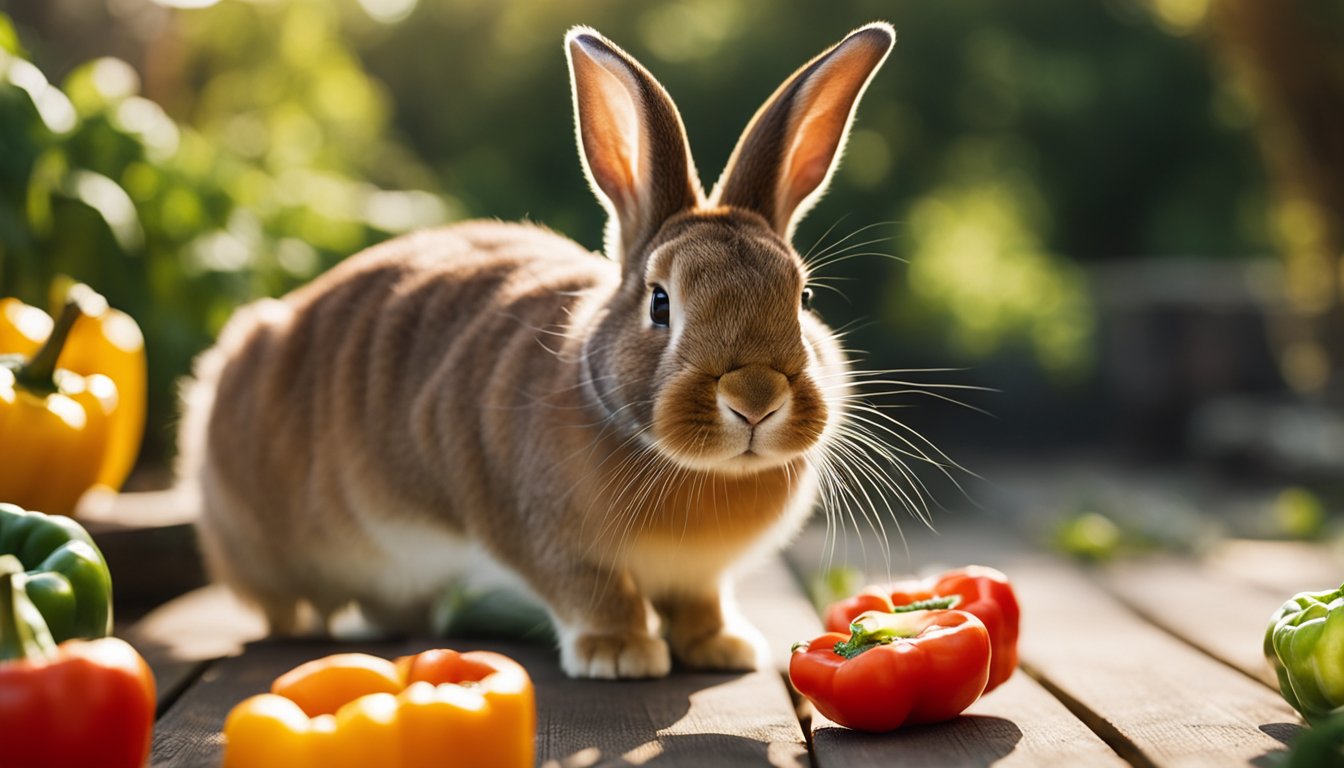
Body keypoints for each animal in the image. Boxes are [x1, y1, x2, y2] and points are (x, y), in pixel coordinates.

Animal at [177, 22, 895, 679]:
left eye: (803, 299)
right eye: (661, 304)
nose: (755, 397)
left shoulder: (699, 577)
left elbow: (700, 602)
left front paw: (722, 648)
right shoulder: (543, 539)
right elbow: (594, 592)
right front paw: (620, 654)